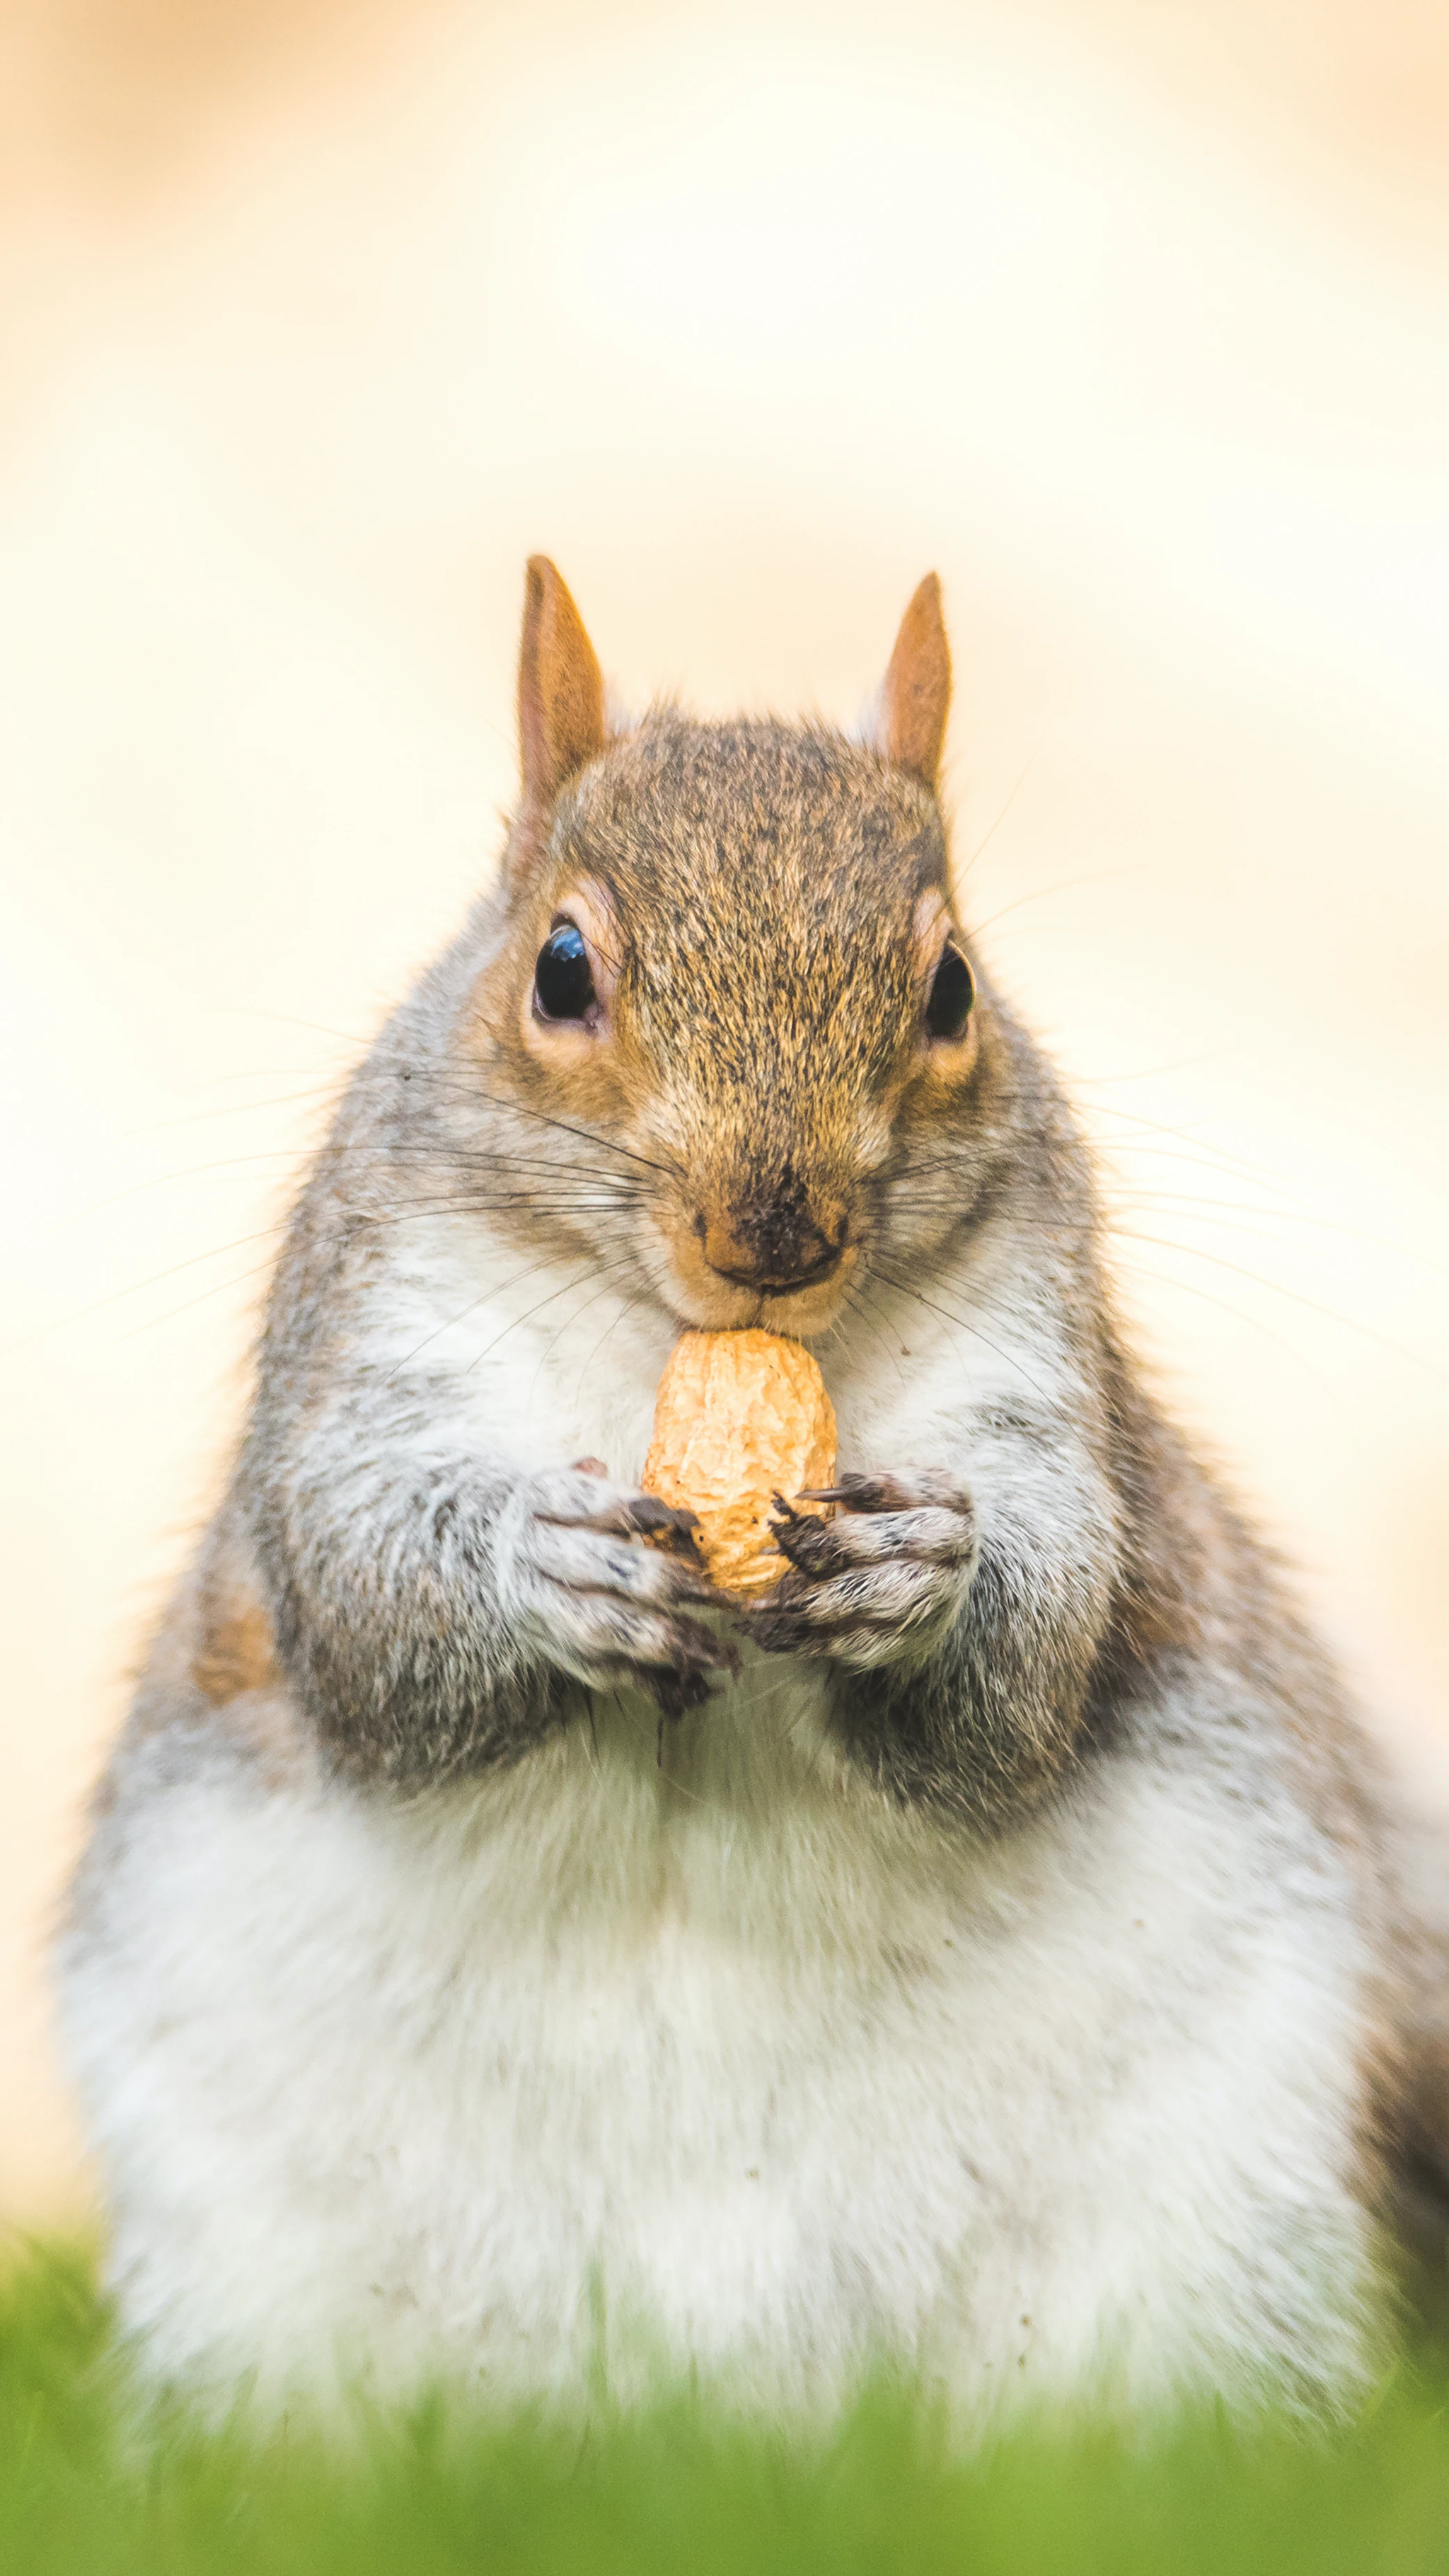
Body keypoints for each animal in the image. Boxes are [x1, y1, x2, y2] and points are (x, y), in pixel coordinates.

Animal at [57, 553, 1449, 2421]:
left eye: (950, 989)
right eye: (560, 966)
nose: (774, 1232)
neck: (669, 1339)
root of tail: (729, 2402)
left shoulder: (1037, 1368)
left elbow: (1024, 1679)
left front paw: (926, 1574)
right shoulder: (357, 1349)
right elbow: (364, 1615)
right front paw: (540, 1568)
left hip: (1209, 2217)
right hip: (254, 2263)